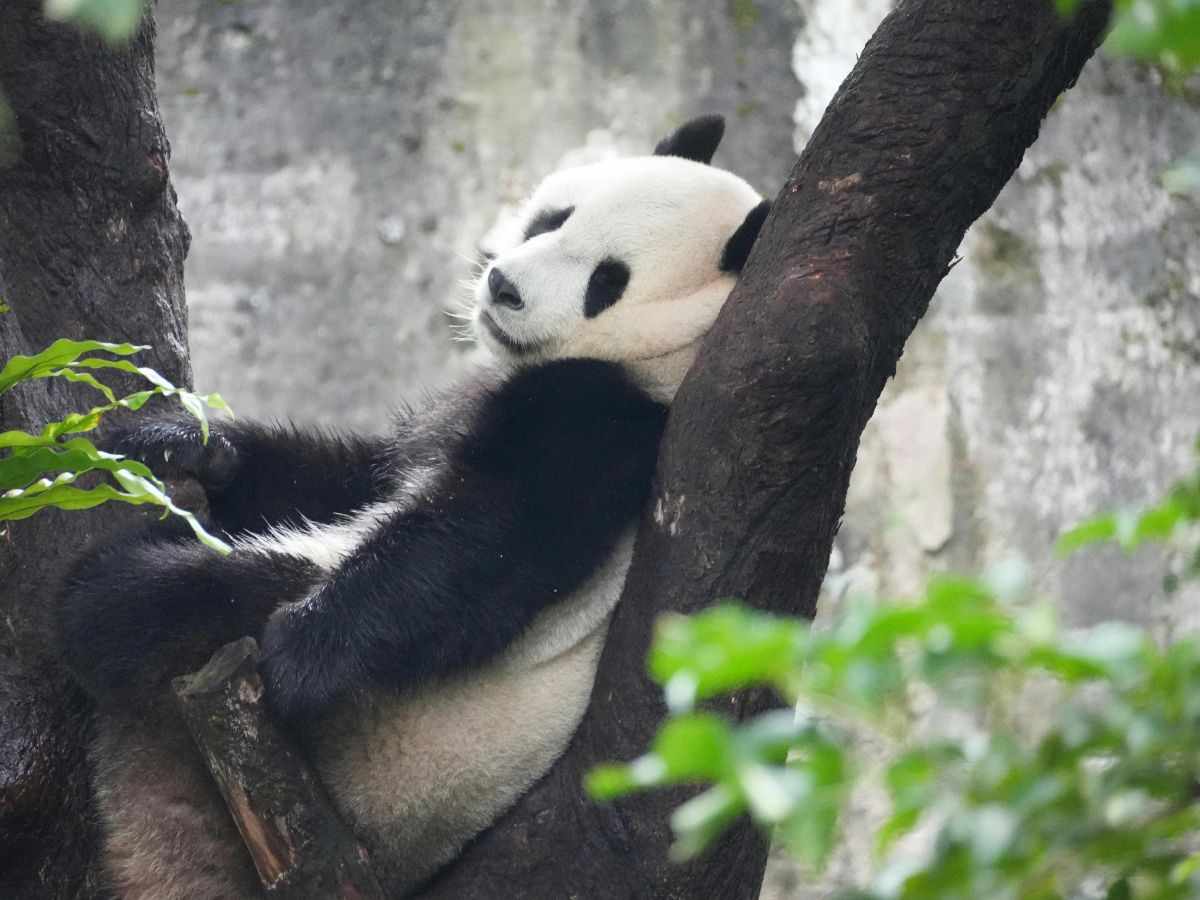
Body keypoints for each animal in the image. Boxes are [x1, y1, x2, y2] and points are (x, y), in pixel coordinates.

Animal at [54, 114, 771, 900]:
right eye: (555, 218)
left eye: (607, 281)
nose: (504, 286)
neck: (670, 348)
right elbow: (355, 475)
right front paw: (181, 444)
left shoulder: (610, 419)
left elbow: (484, 540)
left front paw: (299, 650)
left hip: (388, 762)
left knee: (198, 602)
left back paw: (106, 602)